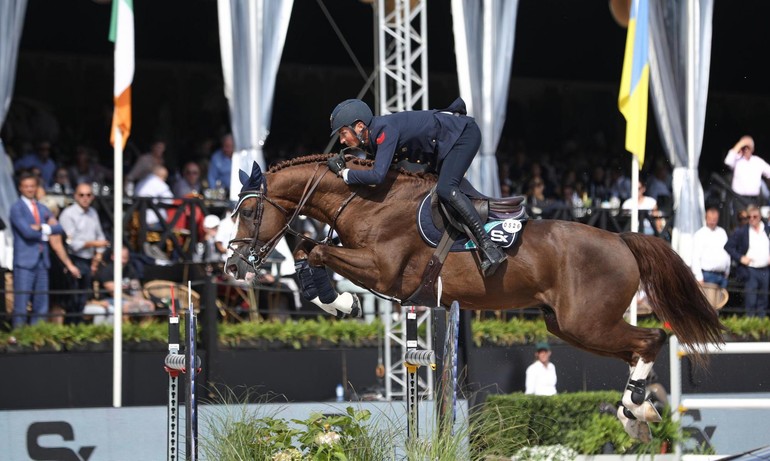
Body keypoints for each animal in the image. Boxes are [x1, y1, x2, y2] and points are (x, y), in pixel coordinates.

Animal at [225, 154, 724, 438]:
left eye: (248, 212)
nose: (233, 267)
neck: (369, 200)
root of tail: (621, 238)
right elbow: (308, 250)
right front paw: (337, 301)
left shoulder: (385, 272)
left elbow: (318, 250)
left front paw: (342, 302)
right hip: (569, 325)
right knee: (636, 349)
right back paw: (633, 411)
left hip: (587, 322)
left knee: (651, 339)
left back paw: (637, 408)